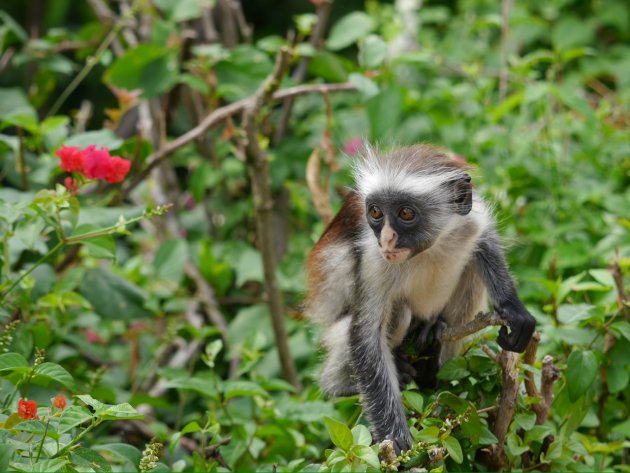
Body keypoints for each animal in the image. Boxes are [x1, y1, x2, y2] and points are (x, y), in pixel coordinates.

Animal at [306, 143, 540, 450]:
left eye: (406, 213)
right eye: (376, 212)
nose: (387, 239)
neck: (427, 249)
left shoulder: (468, 217)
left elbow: (485, 238)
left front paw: (513, 309)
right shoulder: (374, 258)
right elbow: (365, 337)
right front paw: (395, 439)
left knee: (470, 274)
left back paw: (432, 364)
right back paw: (349, 382)